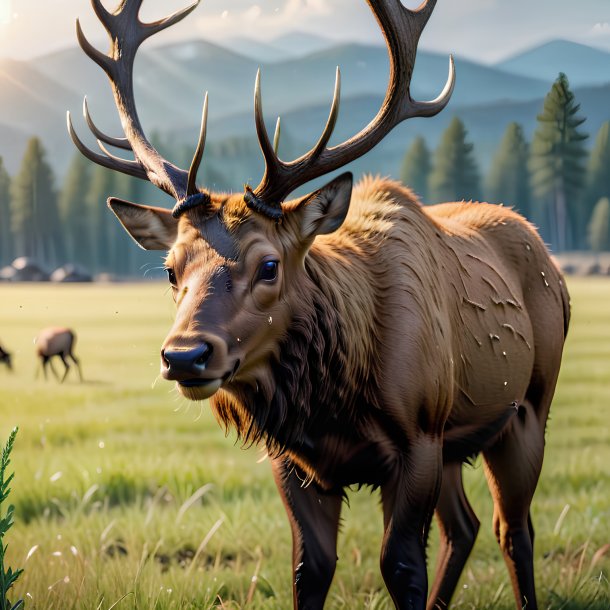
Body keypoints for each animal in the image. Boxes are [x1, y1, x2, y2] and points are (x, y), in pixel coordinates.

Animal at [67, 1, 568, 608]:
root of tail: (544, 248)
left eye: (269, 265)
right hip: (456, 438)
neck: (336, 403)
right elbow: (310, 570)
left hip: (526, 409)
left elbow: (402, 565)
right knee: (465, 526)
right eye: (170, 269)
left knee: (513, 529)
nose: (184, 356)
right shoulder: (295, 461)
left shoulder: (419, 437)